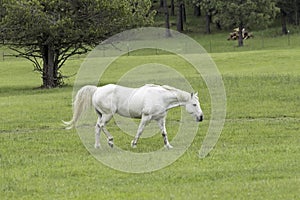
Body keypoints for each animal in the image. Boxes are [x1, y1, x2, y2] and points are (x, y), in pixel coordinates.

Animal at [63, 83, 204, 149]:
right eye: (194, 104)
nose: (201, 117)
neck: (160, 97)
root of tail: (97, 89)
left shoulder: (160, 119)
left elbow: (164, 133)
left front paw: (168, 146)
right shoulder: (146, 117)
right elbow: (140, 131)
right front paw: (134, 144)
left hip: (101, 114)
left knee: (97, 127)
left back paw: (98, 146)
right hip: (108, 115)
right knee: (101, 126)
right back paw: (110, 141)